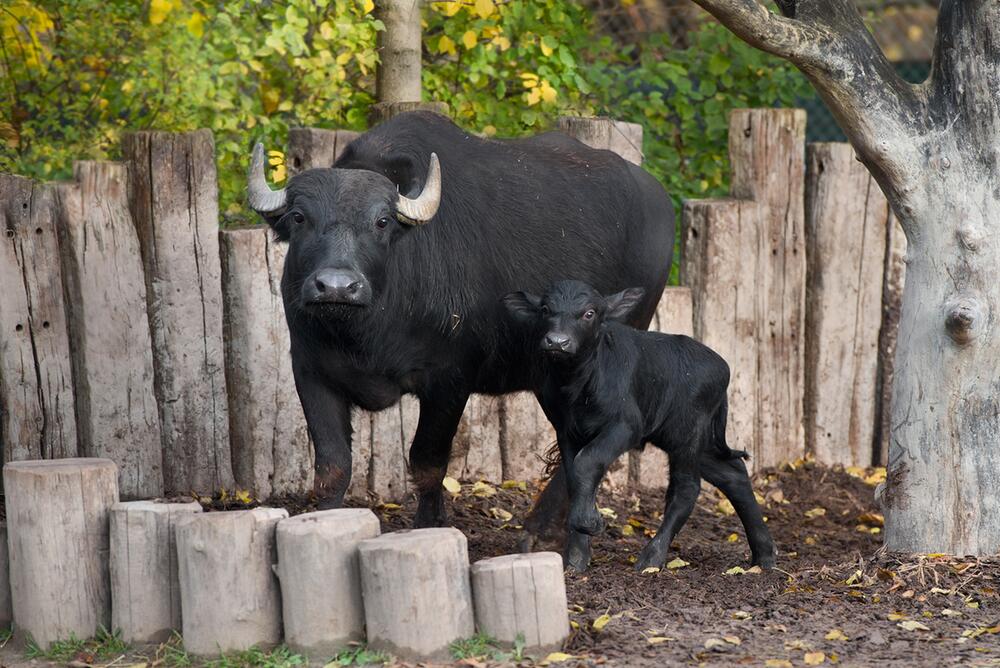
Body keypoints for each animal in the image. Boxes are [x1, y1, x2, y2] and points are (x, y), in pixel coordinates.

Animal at [246, 111, 676, 548]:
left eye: (381, 221)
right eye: (300, 217)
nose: (336, 286)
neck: (363, 331)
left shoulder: (449, 379)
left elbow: (427, 462)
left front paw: (429, 525)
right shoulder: (311, 371)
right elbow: (332, 467)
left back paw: (538, 531)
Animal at [504, 280, 776, 572]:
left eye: (589, 313)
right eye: (545, 309)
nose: (557, 341)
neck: (576, 385)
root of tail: (722, 365)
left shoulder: (626, 425)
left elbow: (587, 462)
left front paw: (590, 522)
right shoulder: (566, 431)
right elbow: (574, 476)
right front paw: (576, 558)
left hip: (688, 433)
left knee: (687, 487)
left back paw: (652, 557)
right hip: (686, 437)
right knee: (732, 473)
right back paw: (764, 556)